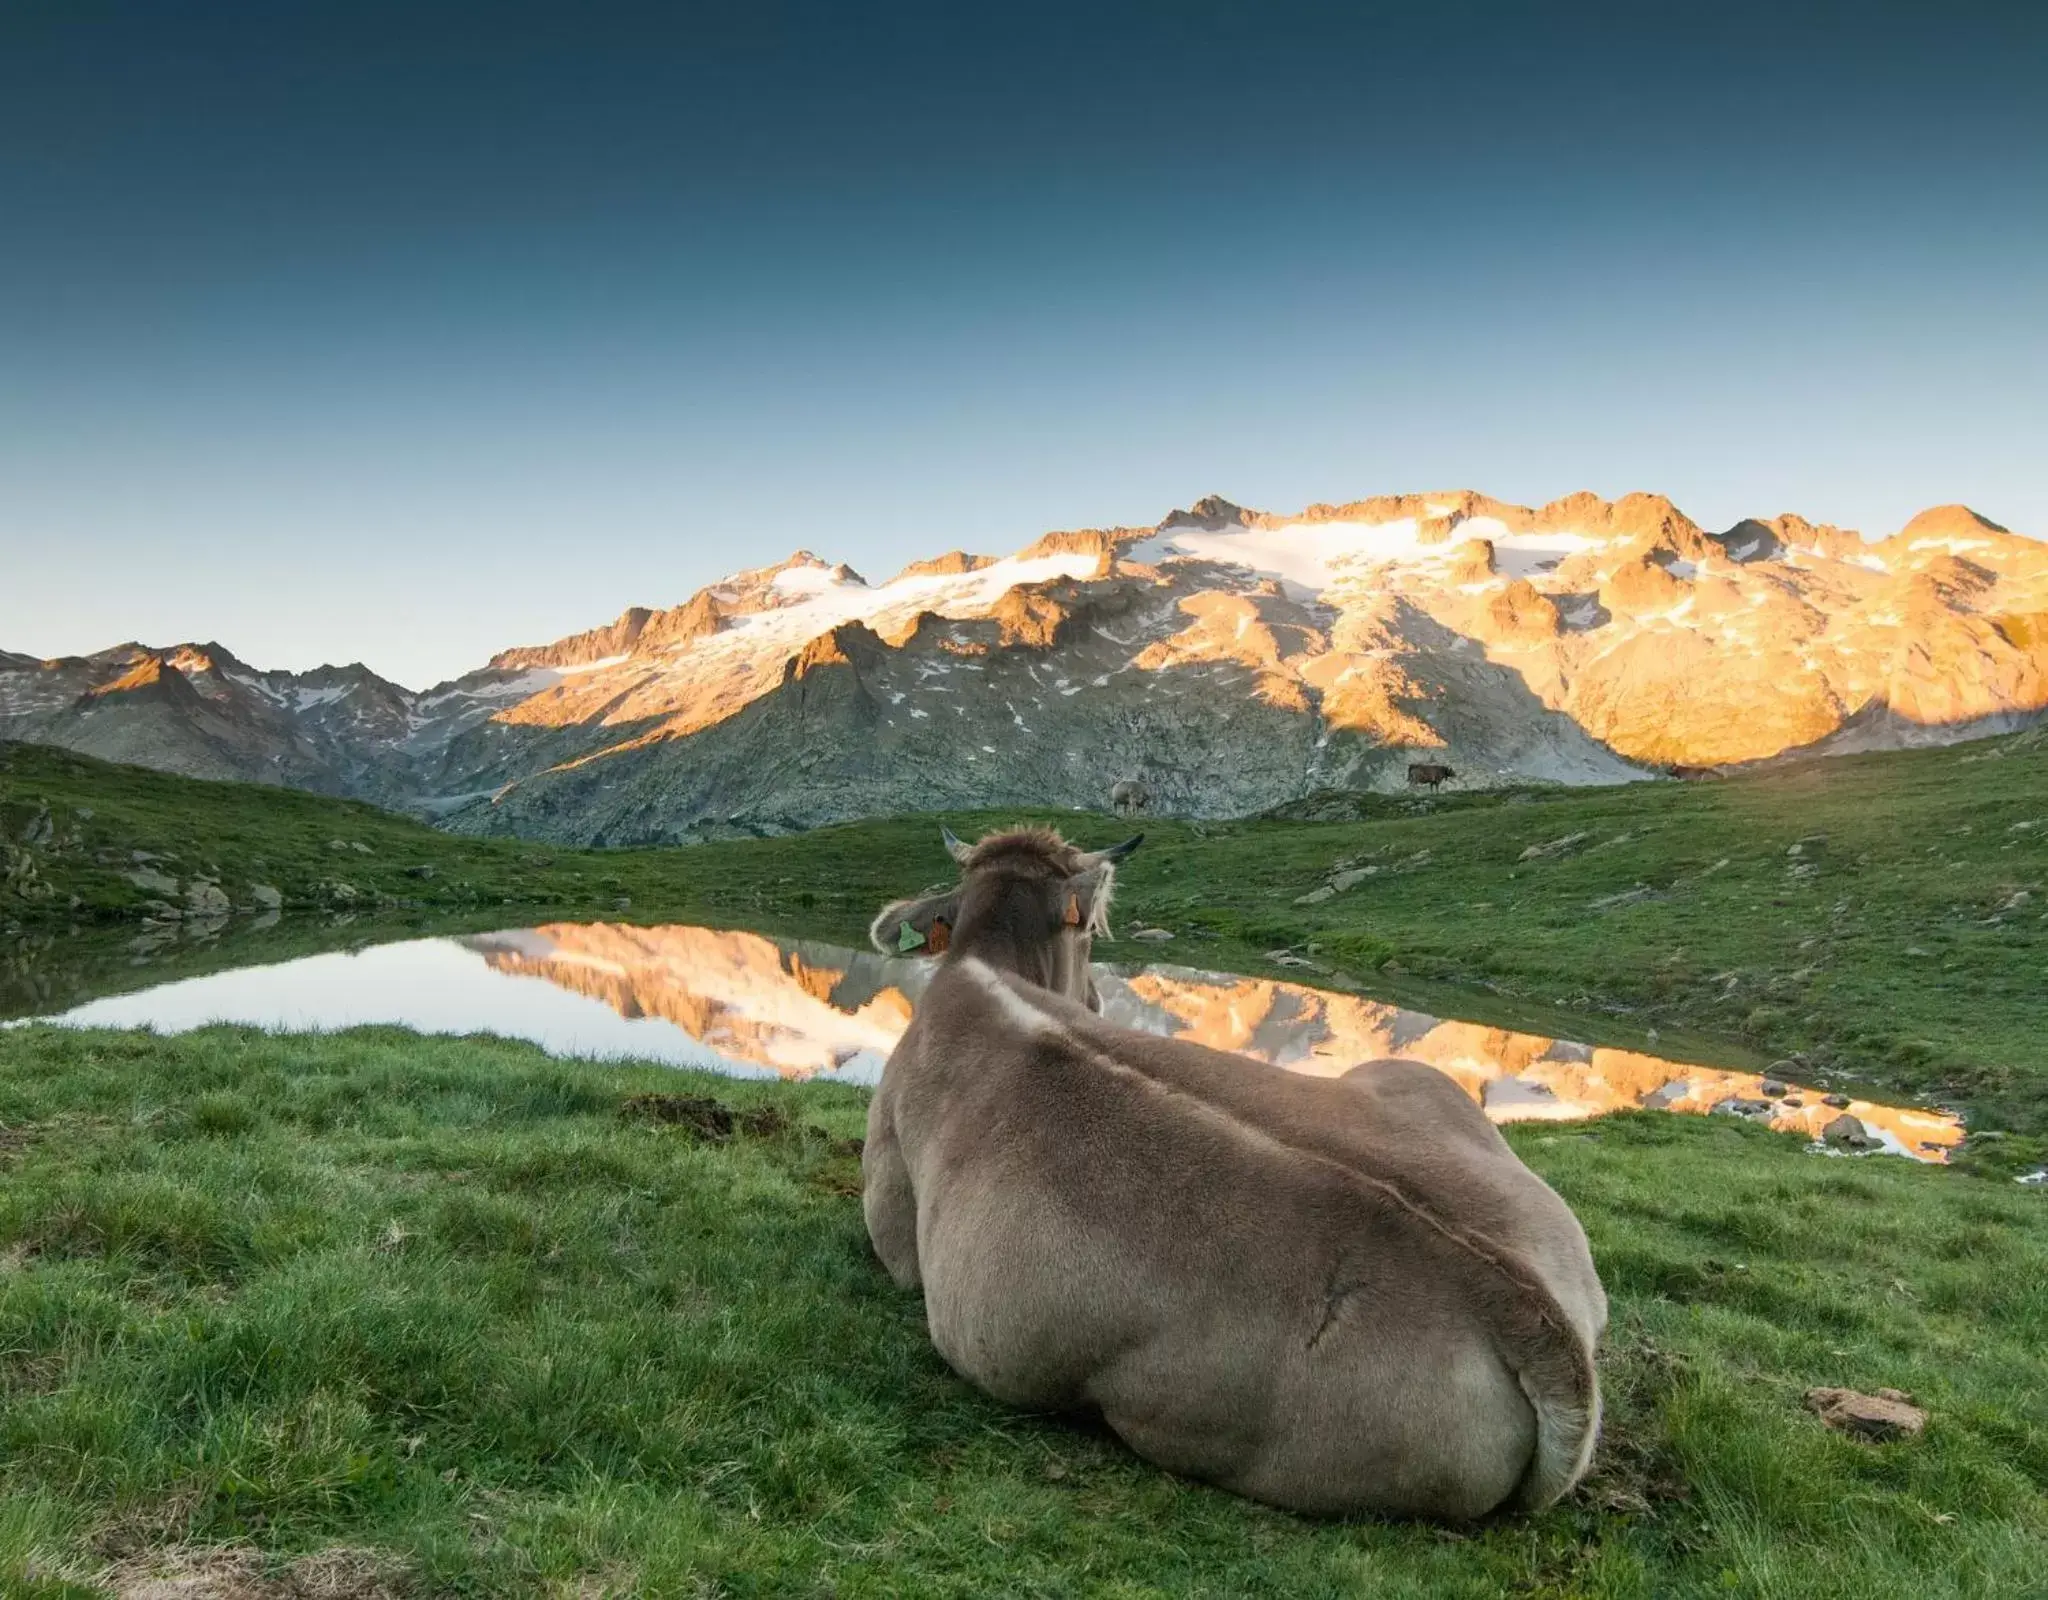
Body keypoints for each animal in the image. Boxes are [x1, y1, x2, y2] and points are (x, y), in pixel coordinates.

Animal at [856, 831, 1605, 1516]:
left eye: (1093, 933)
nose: (1097, 1000)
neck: (984, 973)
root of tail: (1519, 1299)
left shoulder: (892, 1211)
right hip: (1422, 1087)